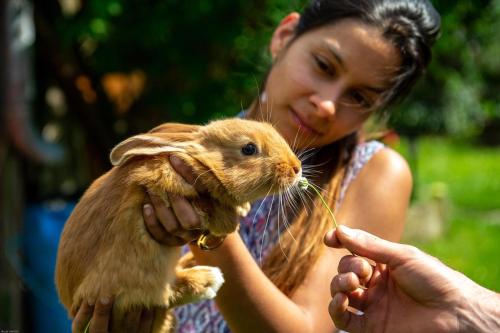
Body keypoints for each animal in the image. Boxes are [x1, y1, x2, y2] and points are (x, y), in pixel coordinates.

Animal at [56, 118, 302, 330]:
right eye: (249, 149)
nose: (296, 167)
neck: (198, 160)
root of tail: (73, 306)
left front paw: (241, 209)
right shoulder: (165, 184)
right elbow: (208, 207)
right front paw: (229, 221)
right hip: (134, 278)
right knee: (163, 295)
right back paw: (208, 279)